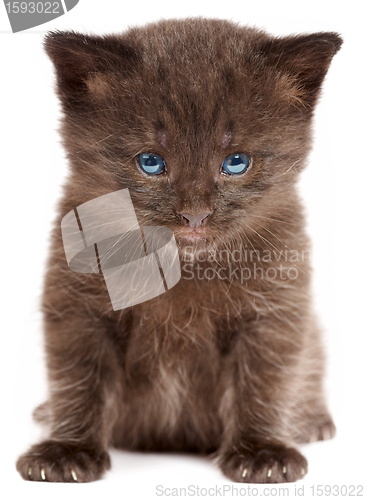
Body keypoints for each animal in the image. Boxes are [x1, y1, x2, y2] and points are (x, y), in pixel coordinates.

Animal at [16, 19, 342, 484]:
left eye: (236, 162)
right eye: (150, 162)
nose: (195, 216)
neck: (182, 269)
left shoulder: (274, 310)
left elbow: (265, 379)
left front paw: (262, 451)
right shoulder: (77, 307)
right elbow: (78, 378)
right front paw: (68, 450)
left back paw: (313, 420)